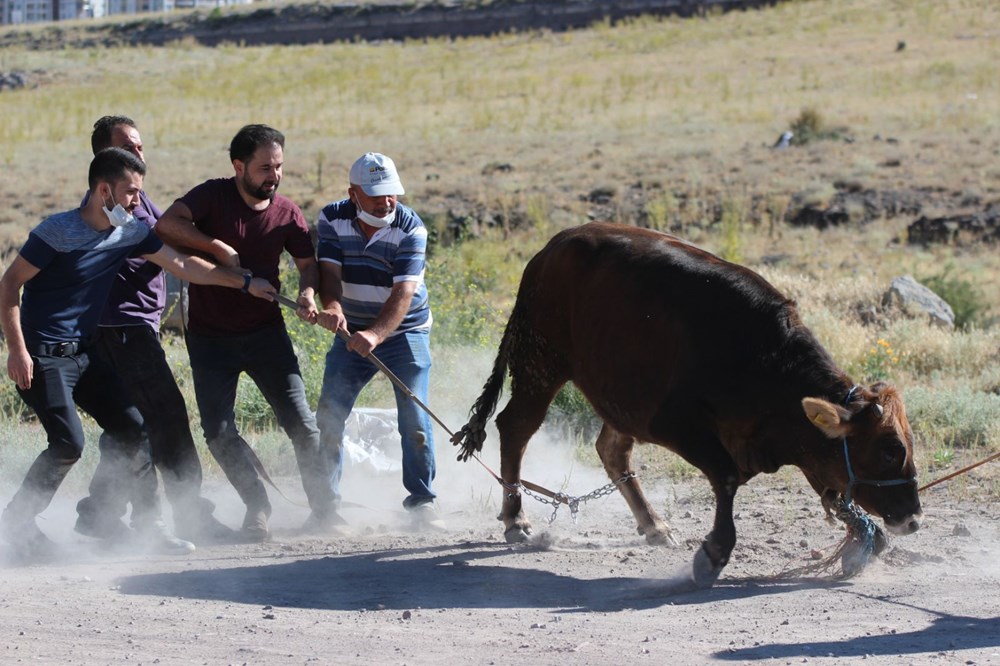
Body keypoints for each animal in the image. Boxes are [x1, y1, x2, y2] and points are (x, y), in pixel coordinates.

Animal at [456, 223, 920, 588]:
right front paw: (713, 554)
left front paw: (865, 534)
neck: (765, 358)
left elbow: (835, 491)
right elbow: (727, 479)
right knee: (515, 428)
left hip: (618, 394)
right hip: (541, 365)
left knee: (612, 451)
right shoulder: (676, 423)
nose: (913, 517)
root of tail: (551, 248)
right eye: (889, 449)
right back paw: (516, 519)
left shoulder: (802, 443)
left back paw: (653, 524)